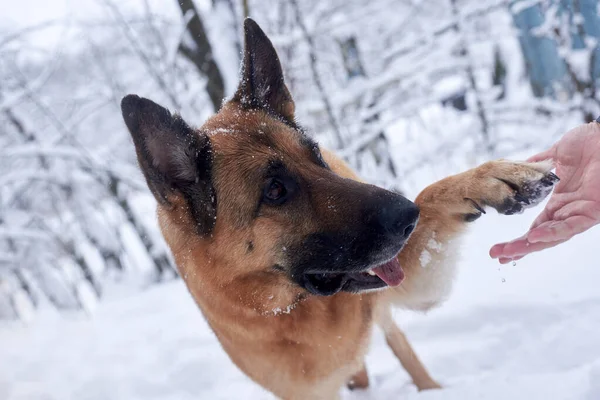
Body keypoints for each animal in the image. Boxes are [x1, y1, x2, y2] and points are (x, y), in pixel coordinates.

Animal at [120, 18, 556, 400]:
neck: (291, 309)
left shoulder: (411, 284)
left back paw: (429, 388)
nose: (408, 220)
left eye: (316, 156)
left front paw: (496, 176)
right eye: (275, 190)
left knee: (401, 346)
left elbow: (430, 193)